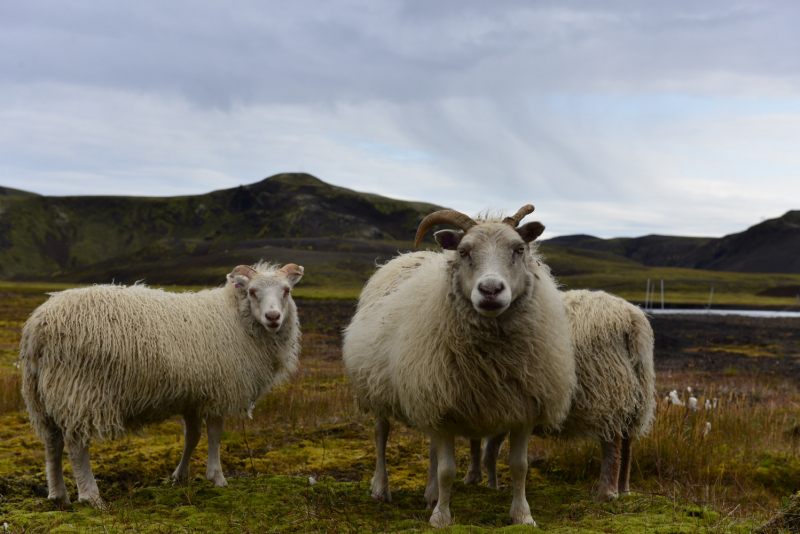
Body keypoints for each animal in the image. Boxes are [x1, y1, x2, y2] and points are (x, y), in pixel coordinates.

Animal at [19, 262, 306, 508]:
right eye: (252, 291)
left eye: (286, 291)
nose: (273, 317)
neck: (236, 317)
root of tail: (38, 326)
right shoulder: (220, 390)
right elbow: (215, 434)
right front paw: (217, 478)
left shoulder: (194, 395)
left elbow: (193, 436)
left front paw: (180, 476)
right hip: (79, 389)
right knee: (76, 446)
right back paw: (91, 497)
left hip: (43, 393)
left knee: (52, 441)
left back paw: (58, 495)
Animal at [340, 206, 580, 528]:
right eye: (464, 251)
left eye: (519, 249)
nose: (490, 290)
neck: (493, 362)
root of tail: (400, 259)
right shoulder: (441, 407)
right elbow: (447, 470)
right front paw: (441, 517)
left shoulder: (523, 408)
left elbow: (519, 466)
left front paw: (522, 515)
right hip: (378, 388)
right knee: (381, 434)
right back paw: (381, 488)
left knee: (430, 447)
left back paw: (430, 495)